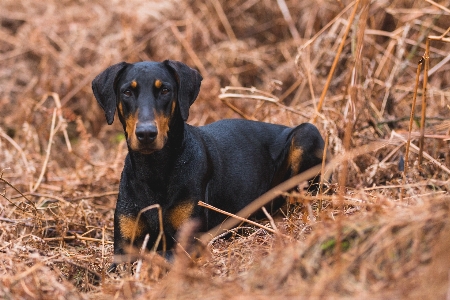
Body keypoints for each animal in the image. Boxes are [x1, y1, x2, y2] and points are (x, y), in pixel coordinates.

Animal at [91, 59, 326, 270]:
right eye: (127, 92)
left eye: (165, 90)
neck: (154, 169)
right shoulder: (122, 249)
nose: (146, 134)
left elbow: (162, 256)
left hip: (306, 134)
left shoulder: (188, 240)